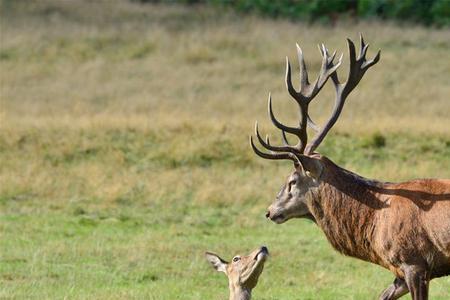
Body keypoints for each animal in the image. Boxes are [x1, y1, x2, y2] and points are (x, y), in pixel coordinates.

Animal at [250, 35, 450, 300]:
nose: (270, 211)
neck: (374, 225)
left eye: (292, 180)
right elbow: (381, 296)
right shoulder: (400, 272)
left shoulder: (414, 261)